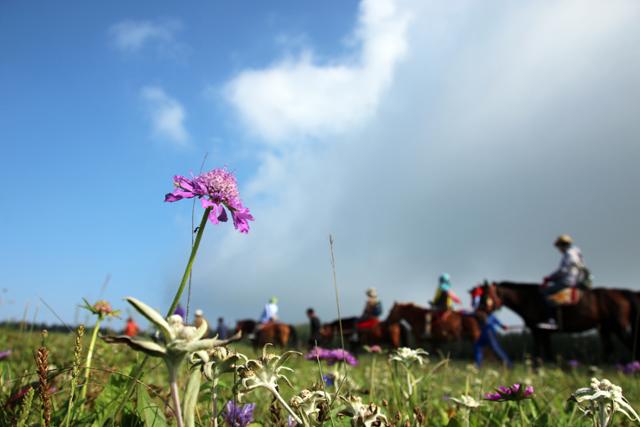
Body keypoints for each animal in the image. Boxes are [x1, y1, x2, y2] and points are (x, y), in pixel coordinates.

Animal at [480, 282, 640, 362]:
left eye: (486, 295)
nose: (480, 311)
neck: (528, 298)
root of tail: (622, 292)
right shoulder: (542, 332)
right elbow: (545, 352)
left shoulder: (539, 330)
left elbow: (540, 352)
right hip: (606, 328)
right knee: (609, 348)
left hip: (618, 327)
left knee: (629, 345)